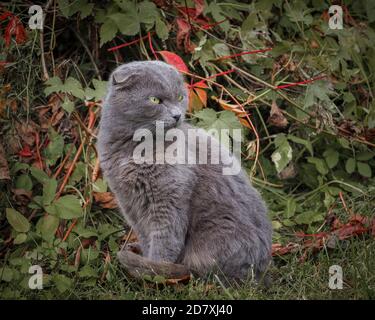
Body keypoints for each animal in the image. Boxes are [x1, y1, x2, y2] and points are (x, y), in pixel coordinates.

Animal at [97, 60, 274, 282]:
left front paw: (154, 273)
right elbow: (146, 236)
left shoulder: (167, 200)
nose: (177, 115)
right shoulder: (129, 203)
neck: (131, 149)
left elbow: (165, 240)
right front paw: (147, 261)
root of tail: (260, 272)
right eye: (155, 100)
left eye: (180, 97)